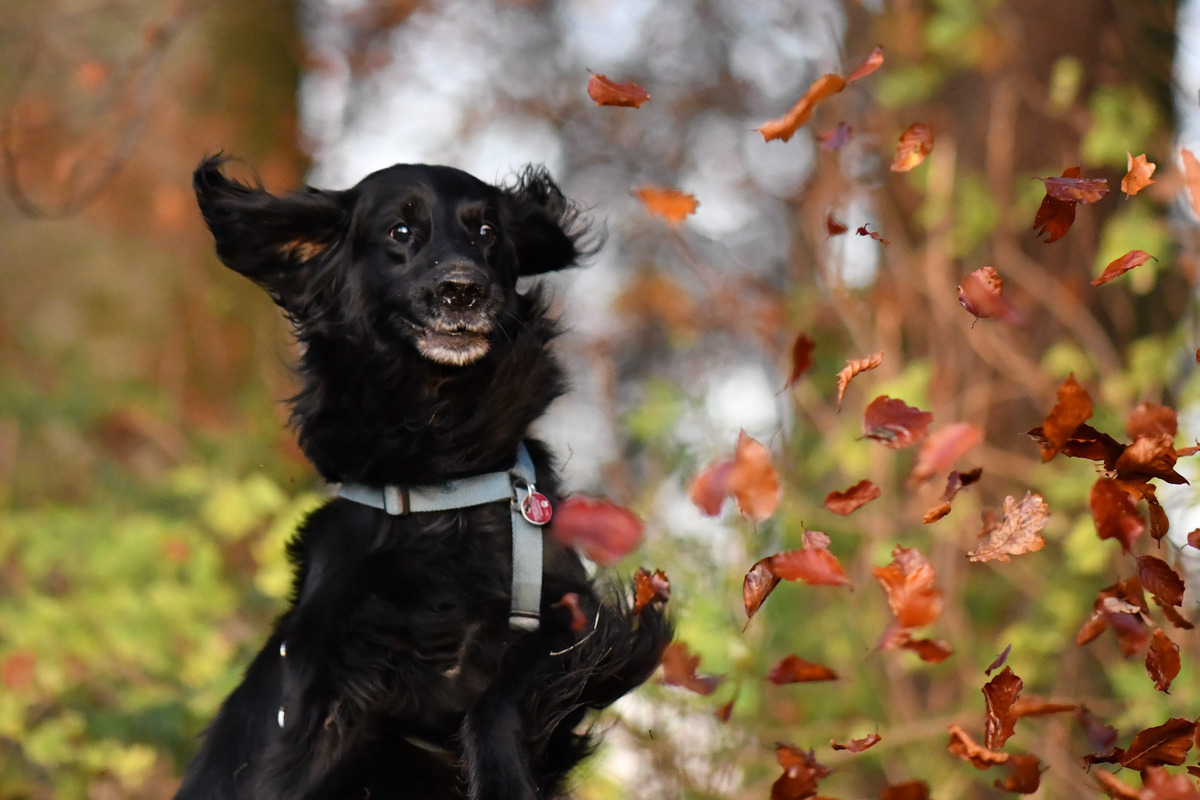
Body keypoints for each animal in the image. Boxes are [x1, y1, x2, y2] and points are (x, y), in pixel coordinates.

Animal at [180, 155, 676, 800]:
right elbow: (292, 763)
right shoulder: (328, 672)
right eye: (400, 231)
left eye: (487, 232)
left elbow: (499, 699)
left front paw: (501, 778)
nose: (463, 289)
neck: (437, 471)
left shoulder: (573, 613)